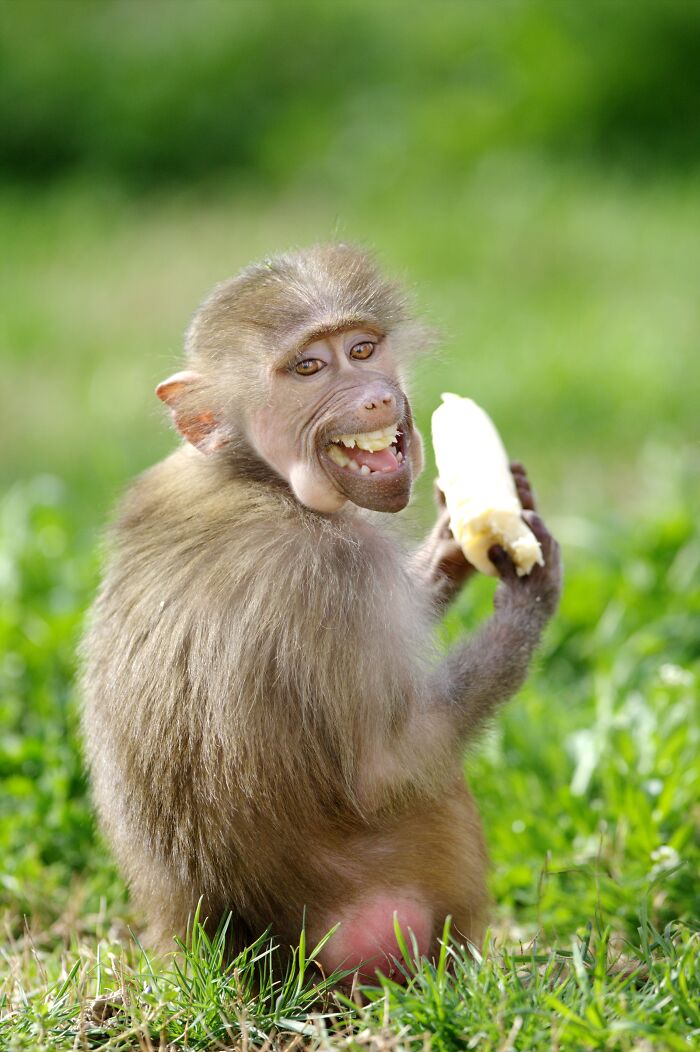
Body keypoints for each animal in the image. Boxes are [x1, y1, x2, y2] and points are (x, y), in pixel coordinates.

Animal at [80, 244, 561, 981]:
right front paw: (526, 595)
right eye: (308, 368)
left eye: (362, 349)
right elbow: (386, 769)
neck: (255, 476)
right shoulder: (337, 570)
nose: (376, 396)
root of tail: (241, 960)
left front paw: (453, 542)